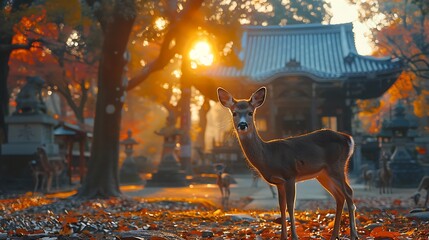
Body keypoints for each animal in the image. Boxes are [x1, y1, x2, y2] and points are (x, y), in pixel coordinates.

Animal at [217, 87, 358, 240]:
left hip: (337, 166)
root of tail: (348, 139)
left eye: (250, 112)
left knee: (349, 193)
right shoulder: (279, 182)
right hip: (323, 174)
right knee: (339, 196)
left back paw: (353, 235)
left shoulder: (290, 175)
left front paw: (294, 237)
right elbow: (281, 206)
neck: (269, 155)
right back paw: (334, 235)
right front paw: (283, 236)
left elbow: (291, 205)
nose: (242, 125)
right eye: (234, 112)